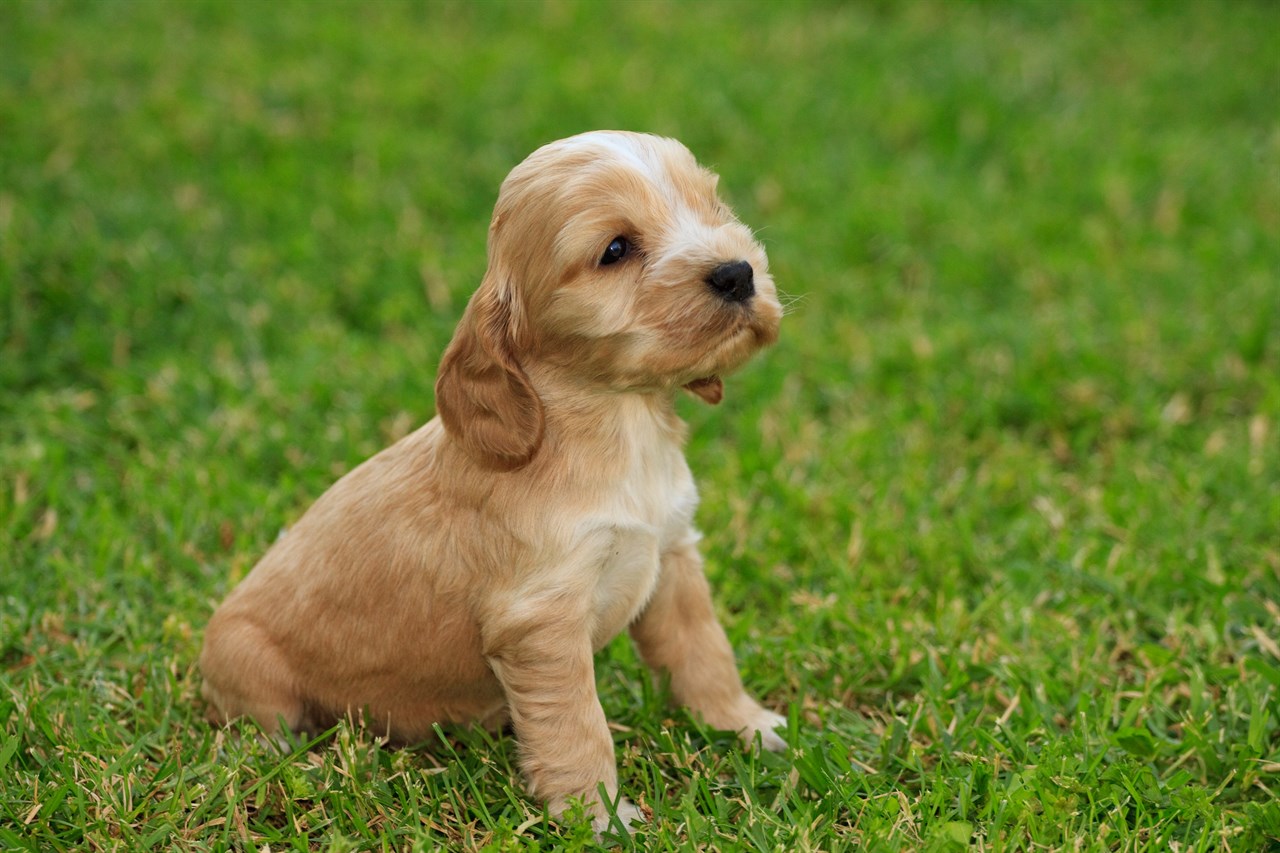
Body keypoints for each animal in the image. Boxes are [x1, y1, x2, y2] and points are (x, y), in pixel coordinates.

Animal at [198, 129, 783, 824]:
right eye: (615, 249)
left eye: (712, 206)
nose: (738, 272)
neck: (621, 420)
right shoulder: (541, 622)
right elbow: (577, 724)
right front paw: (598, 815)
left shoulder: (672, 559)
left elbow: (705, 653)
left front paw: (745, 726)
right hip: (249, 664)